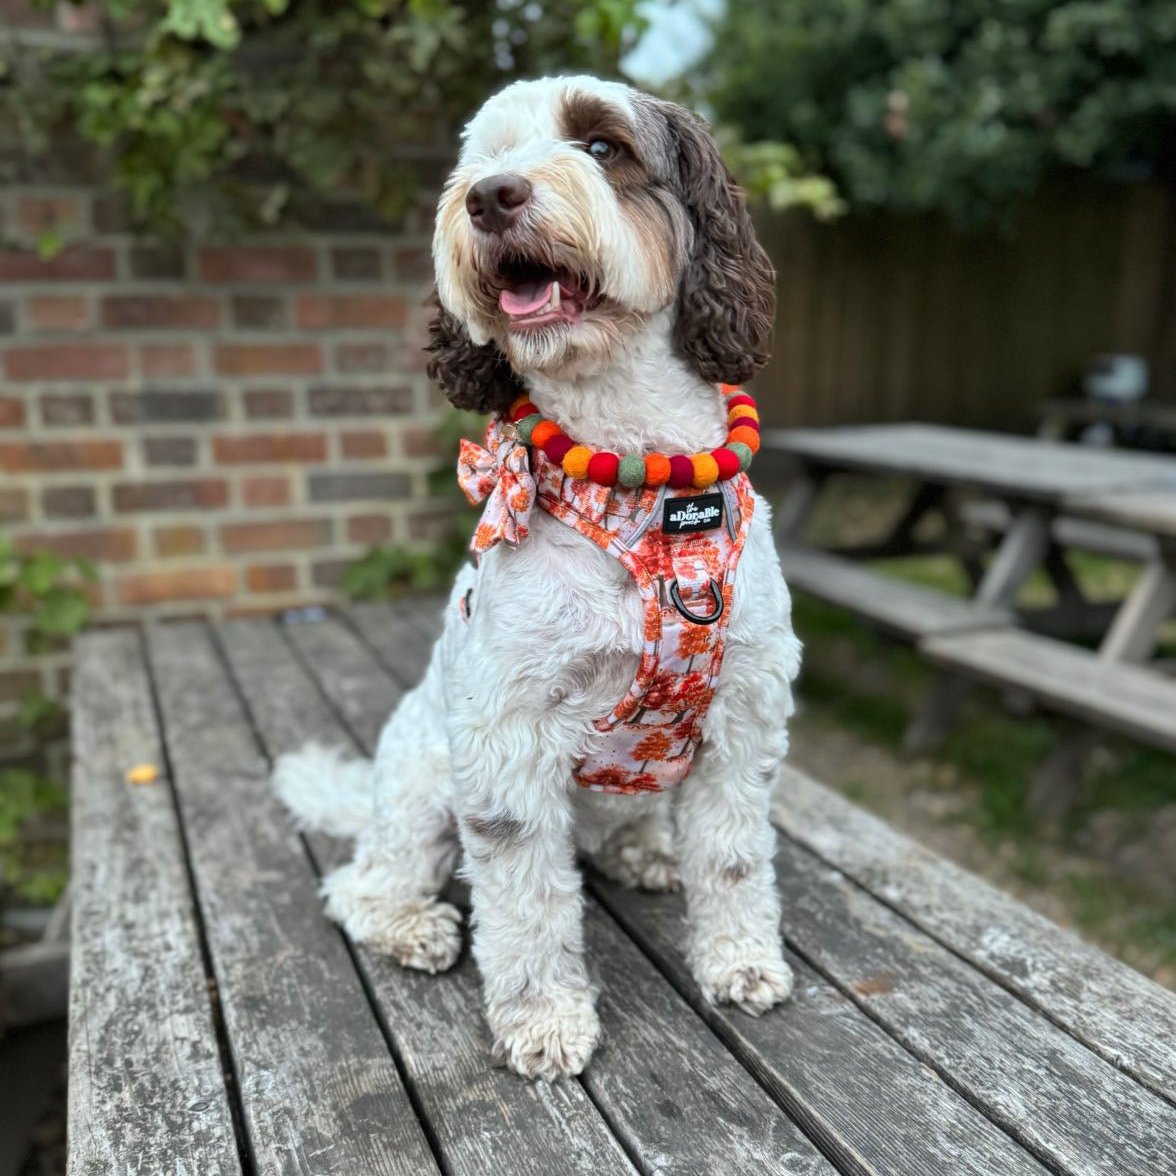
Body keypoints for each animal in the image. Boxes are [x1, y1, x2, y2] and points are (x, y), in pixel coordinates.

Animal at [274, 73, 804, 1077]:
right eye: (481, 158)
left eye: (601, 146)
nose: (490, 197)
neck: (643, 489)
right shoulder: (508, 739)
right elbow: (524, 900)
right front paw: (545, 1021)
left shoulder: (743, 714)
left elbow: (731, 857)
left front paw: (741, 962)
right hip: (424, 786)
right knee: (358, 886)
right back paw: (413, 927)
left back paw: (646, 849)